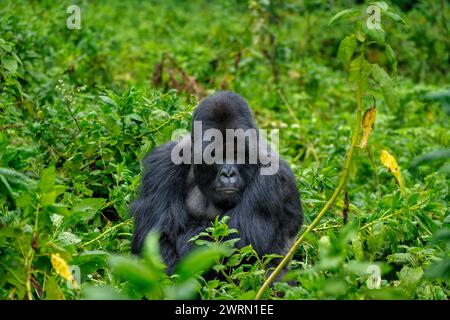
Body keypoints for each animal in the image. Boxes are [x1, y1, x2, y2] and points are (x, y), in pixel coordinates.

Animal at [129, 91, 302, 272]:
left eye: (236, 155)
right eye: (214, 155)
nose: (228, 173)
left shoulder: (275, 177)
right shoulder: (162, 163)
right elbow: (156, 240)